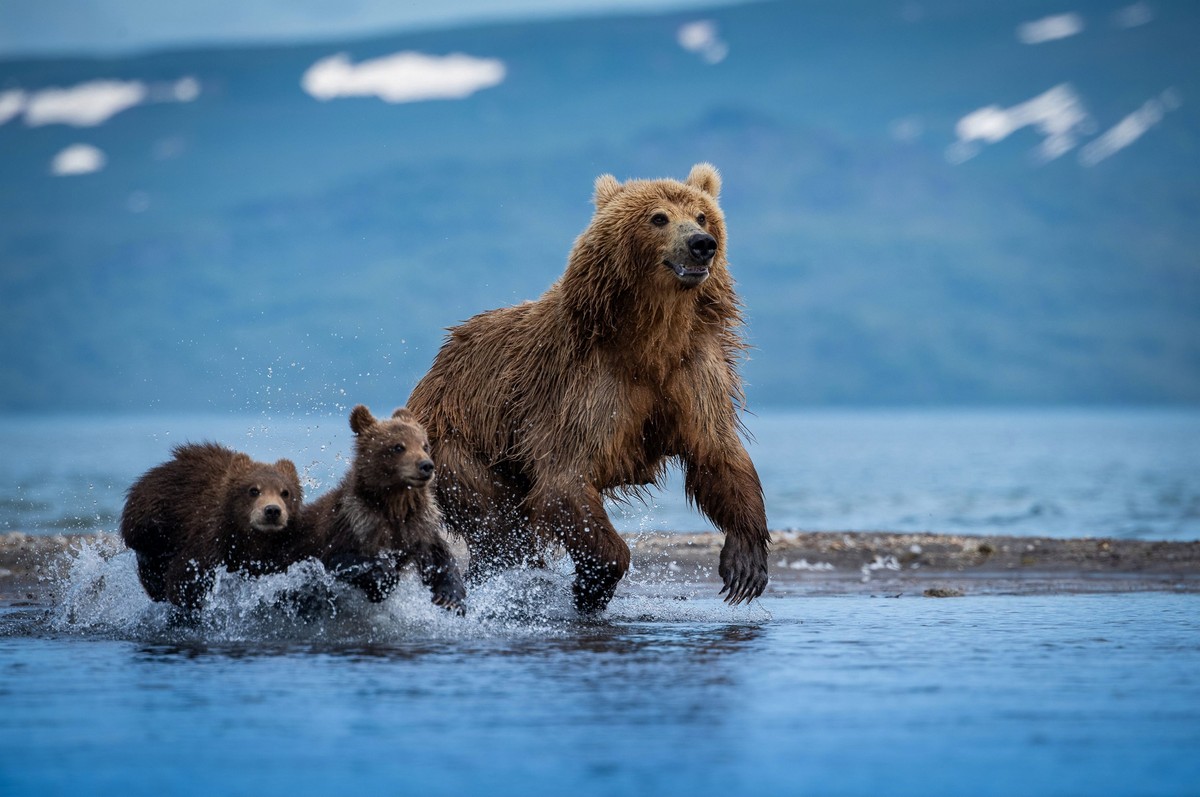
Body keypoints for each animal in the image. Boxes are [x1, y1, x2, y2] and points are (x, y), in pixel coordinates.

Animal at [120, 441, 304, 609]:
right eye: (253, 490)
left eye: (285, 492)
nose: (272, 510)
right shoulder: (211, 538)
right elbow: (185, 577)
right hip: (151, 523)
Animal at [300, 405, 463, 609]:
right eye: (398, 446)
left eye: (425, 445)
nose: (426, 465)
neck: (395, 505)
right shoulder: (353, 524)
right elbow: (340, 559)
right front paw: (384, 577)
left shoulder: (420, 526)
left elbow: (439, 556)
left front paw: (450, 596)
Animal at [410, 160, 768, 609]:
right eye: (659, 217)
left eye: (702, 215)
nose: (702, 244)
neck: (651, 337)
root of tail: (435, 368)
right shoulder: (585, 386)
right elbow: (565, 478)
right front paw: (592, 583)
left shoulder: (692, 371)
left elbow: (717, 453)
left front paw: (745, 563)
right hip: (458, 442)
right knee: (497, 523)